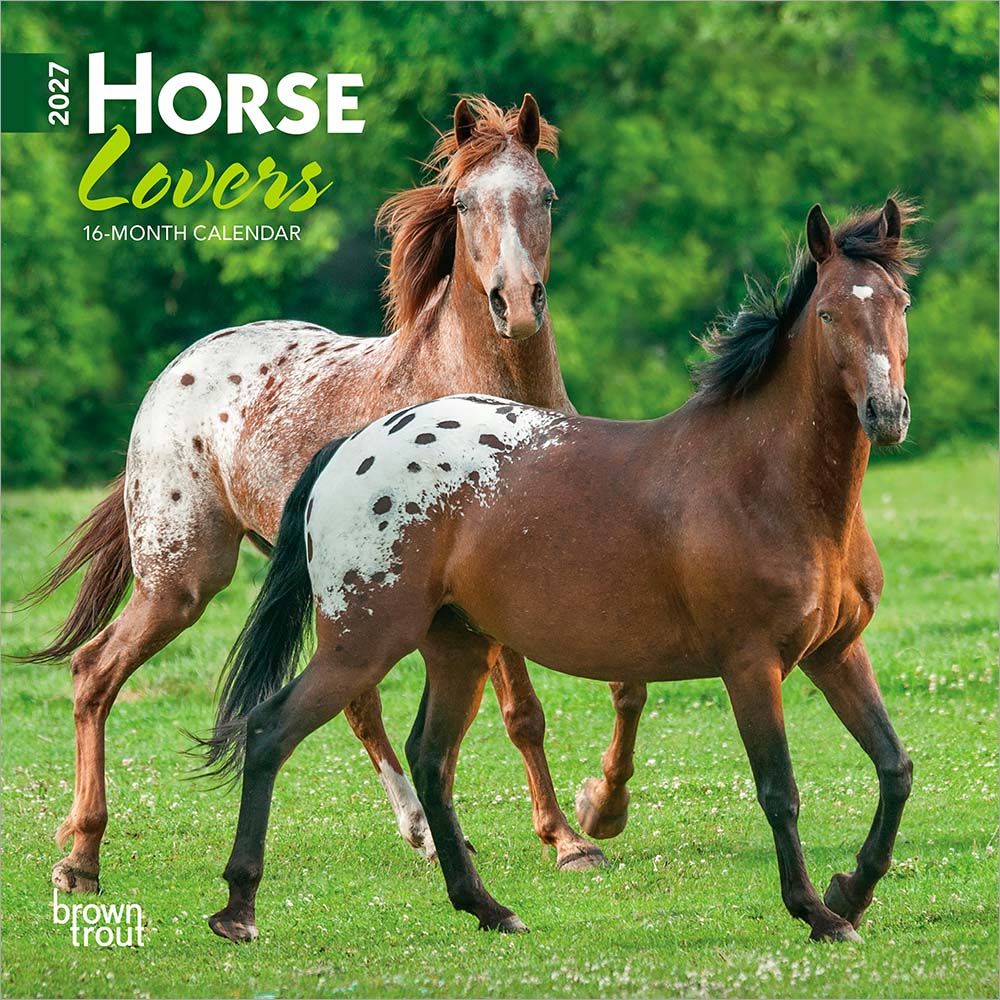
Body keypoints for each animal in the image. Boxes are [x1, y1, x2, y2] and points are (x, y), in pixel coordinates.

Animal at [17, 94, 616, 895]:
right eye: (463, 203)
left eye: (546, 196)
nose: (516, 303)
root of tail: (177, 370)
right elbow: (521, 710)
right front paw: (568, 841)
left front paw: (570, 827)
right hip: (182, 581)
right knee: (94, 672)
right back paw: (81, 855)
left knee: (357, 704)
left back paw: (424, 833)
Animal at [202, 197, 919, 944]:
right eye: (829, 313)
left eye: (901, 302)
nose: (886, 413)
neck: (764, 483)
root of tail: (350, 447)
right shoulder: (752, 664)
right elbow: (780, 791)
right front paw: (816, 911)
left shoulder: (837, 651)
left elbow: (894, 767)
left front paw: (851, 890)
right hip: (362, 644)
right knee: (270, 731)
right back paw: (238, 909)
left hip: (457, 647)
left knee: (431, 760)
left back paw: (486, 906)